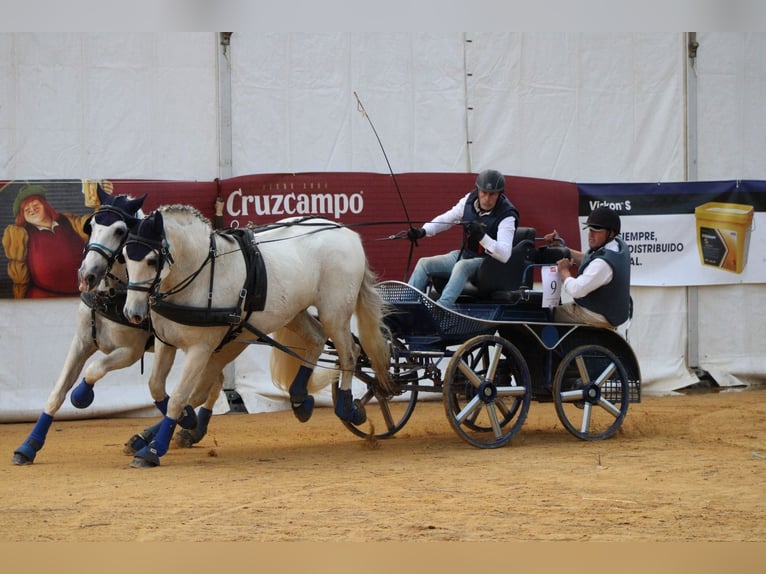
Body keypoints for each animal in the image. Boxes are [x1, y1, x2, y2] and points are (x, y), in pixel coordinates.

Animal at [123, 207, 392, 468]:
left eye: (151, 259)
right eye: (125, 256)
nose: (132, 313)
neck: (201, 275)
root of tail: (346, 231)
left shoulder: (201, 348)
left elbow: (179, 397)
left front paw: (154, 450)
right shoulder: (166, 342)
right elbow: (157, 387)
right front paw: (183, 422)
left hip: (334, 312)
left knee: (349, 354)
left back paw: (348, 409)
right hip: (290, 314)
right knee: (316, 339)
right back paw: (299, 399)